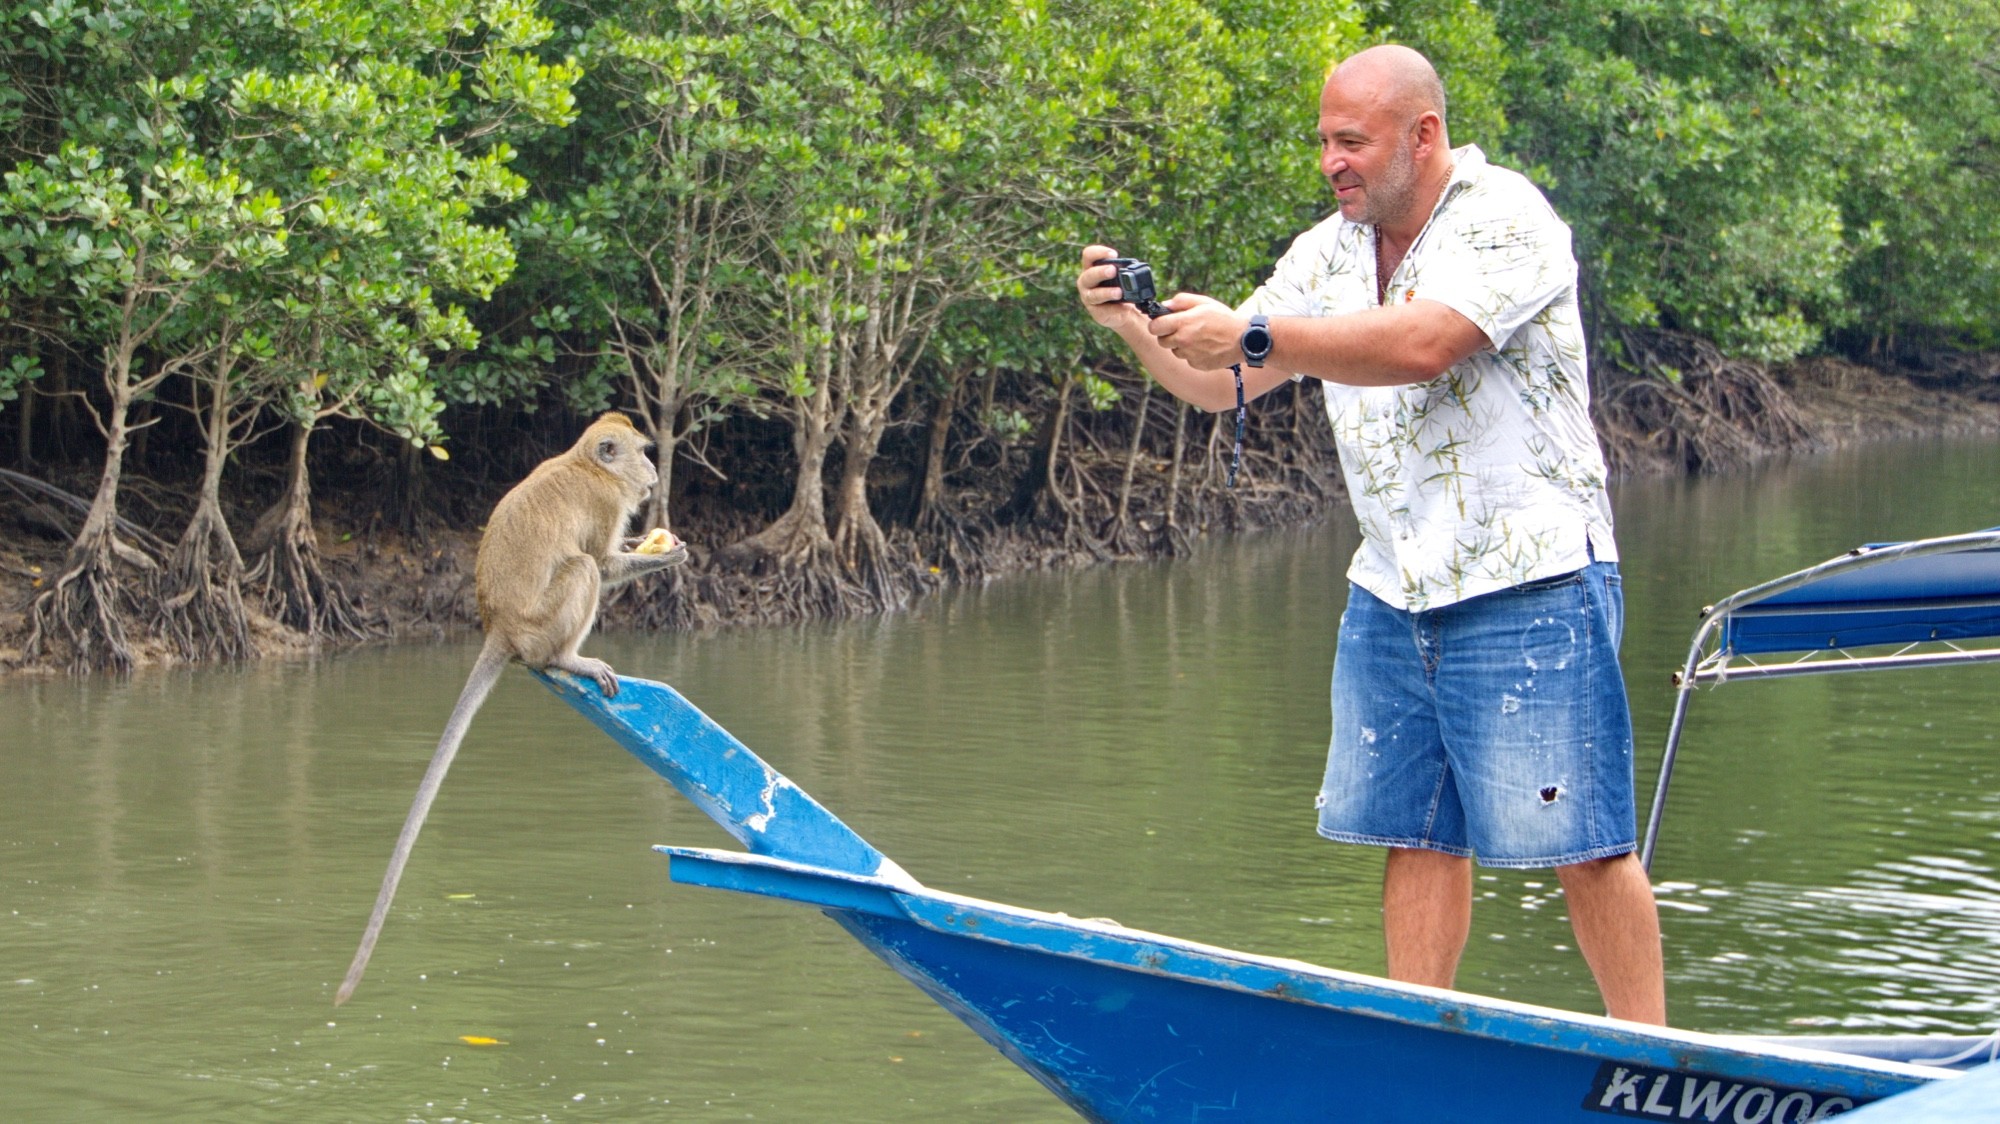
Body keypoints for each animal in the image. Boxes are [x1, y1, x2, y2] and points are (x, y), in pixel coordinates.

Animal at [336, 414, 688, 1008]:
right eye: (642, 453)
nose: (653, 478)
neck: (586, 465)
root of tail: (499, 628)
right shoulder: (603, 503)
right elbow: (604, 561)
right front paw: (663, 553)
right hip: (542, 624)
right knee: (583, 568)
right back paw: (569, 659)